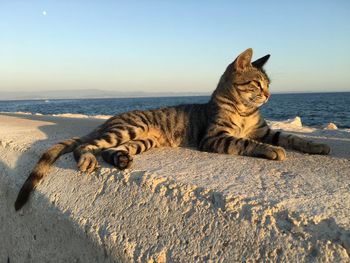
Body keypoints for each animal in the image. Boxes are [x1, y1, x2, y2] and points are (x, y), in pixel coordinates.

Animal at [14, 48, 330, 211]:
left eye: (268, 84)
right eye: (257, 84)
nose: (269, 95)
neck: (244, 110)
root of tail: (109, 119)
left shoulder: (264, 130)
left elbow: (290, 136)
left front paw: (317, 145)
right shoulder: (213, 138)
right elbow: (246, 143)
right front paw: (272, 151)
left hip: (140, 141)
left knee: (110, 150)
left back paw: (121, 159)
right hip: (129, 128)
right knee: (86, 146)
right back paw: (88, 158)